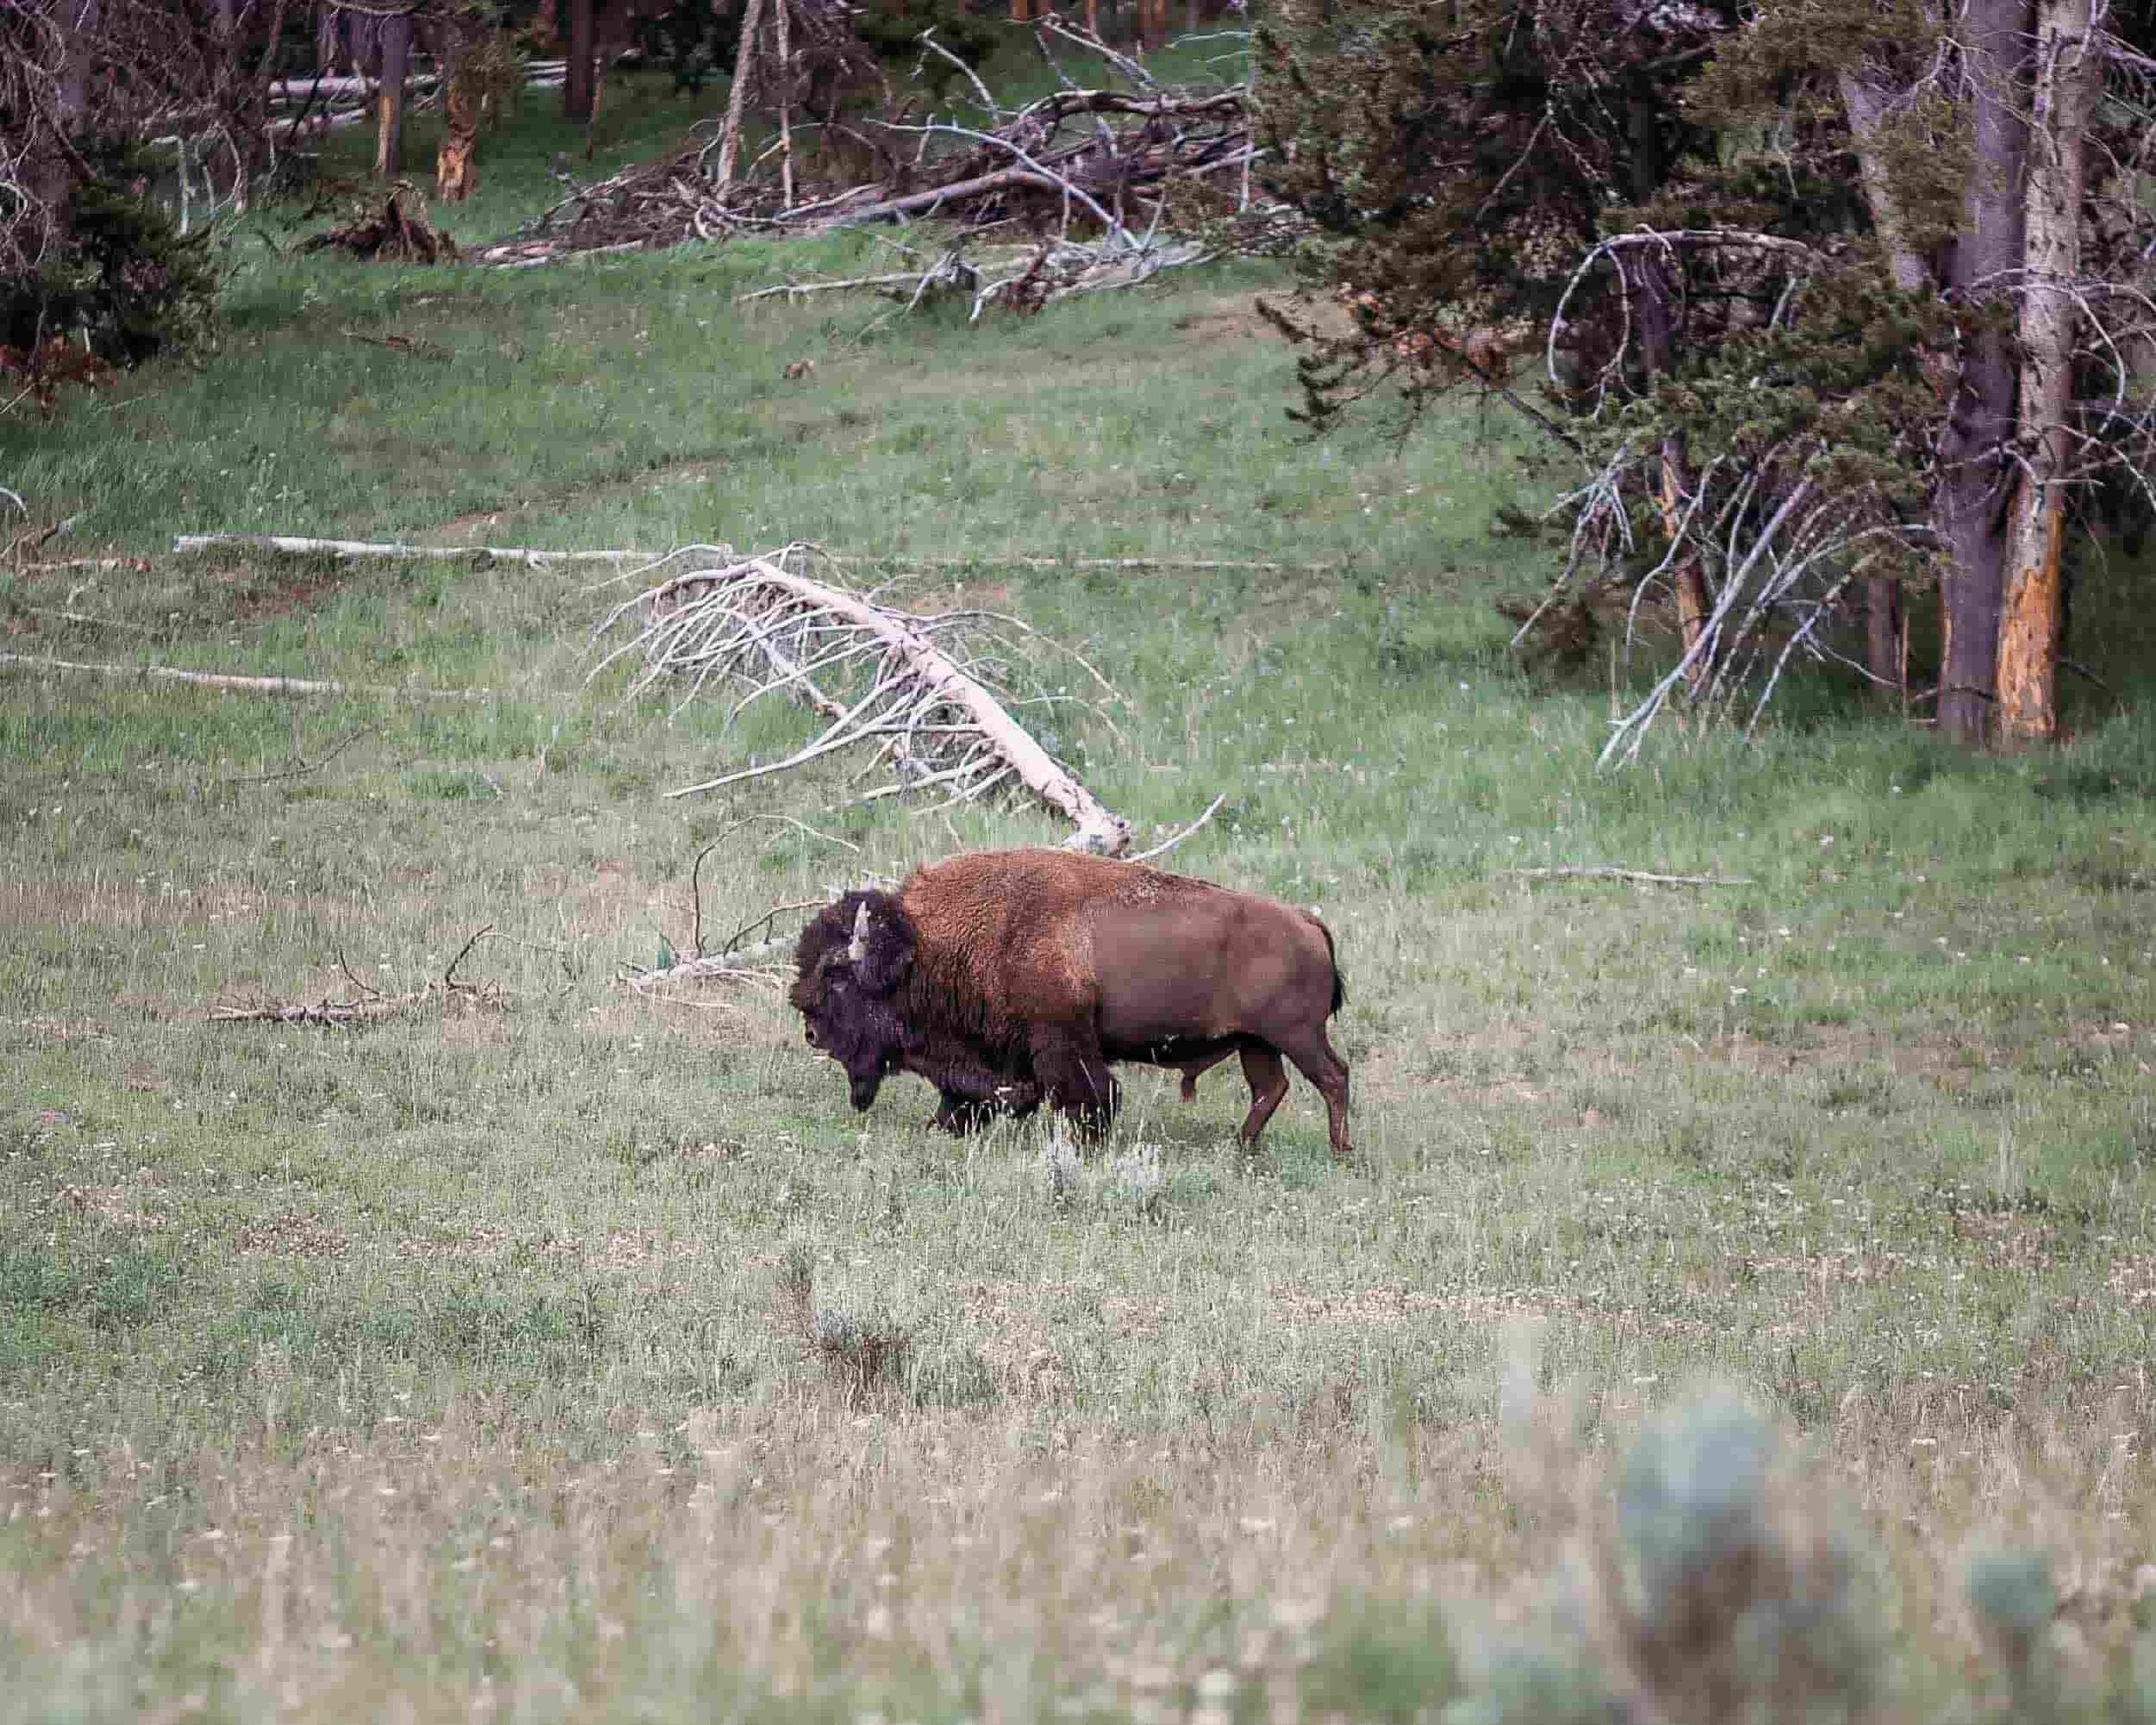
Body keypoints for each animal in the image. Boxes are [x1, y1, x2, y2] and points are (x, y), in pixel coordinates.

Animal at [789, 850, 1345, 1156]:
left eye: (837, 977)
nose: (811, 1031)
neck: (927, 947)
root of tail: (1306, 921)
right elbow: (965, 1098)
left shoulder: (1062, 1044)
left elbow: (1092, 1097)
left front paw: (1084, 1144)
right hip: (1256, 1042)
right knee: (1271, 1088)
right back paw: (1243, 1147)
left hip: (1296, 1036)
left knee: (1332, 1078)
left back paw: (1340, 1150)